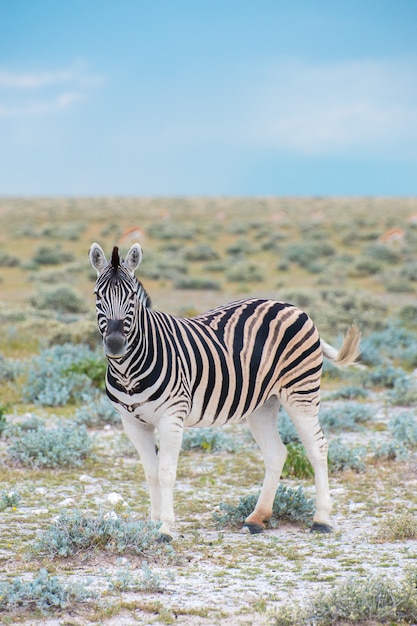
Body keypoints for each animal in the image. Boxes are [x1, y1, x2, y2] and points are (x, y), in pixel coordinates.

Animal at [89, 241, 360, 540]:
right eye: (97, 296)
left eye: (132, 298)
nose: (115, 344)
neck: (128, 370)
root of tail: (292, 306)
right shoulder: (132, 422)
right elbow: (150, 473)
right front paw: (152, 524)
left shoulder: (172, 416)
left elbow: (166, 472)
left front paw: (166, 528)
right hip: (263, 403)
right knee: (277, 453)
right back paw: (257, 518)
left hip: (301, 392)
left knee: (317, 447)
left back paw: (321, 519)